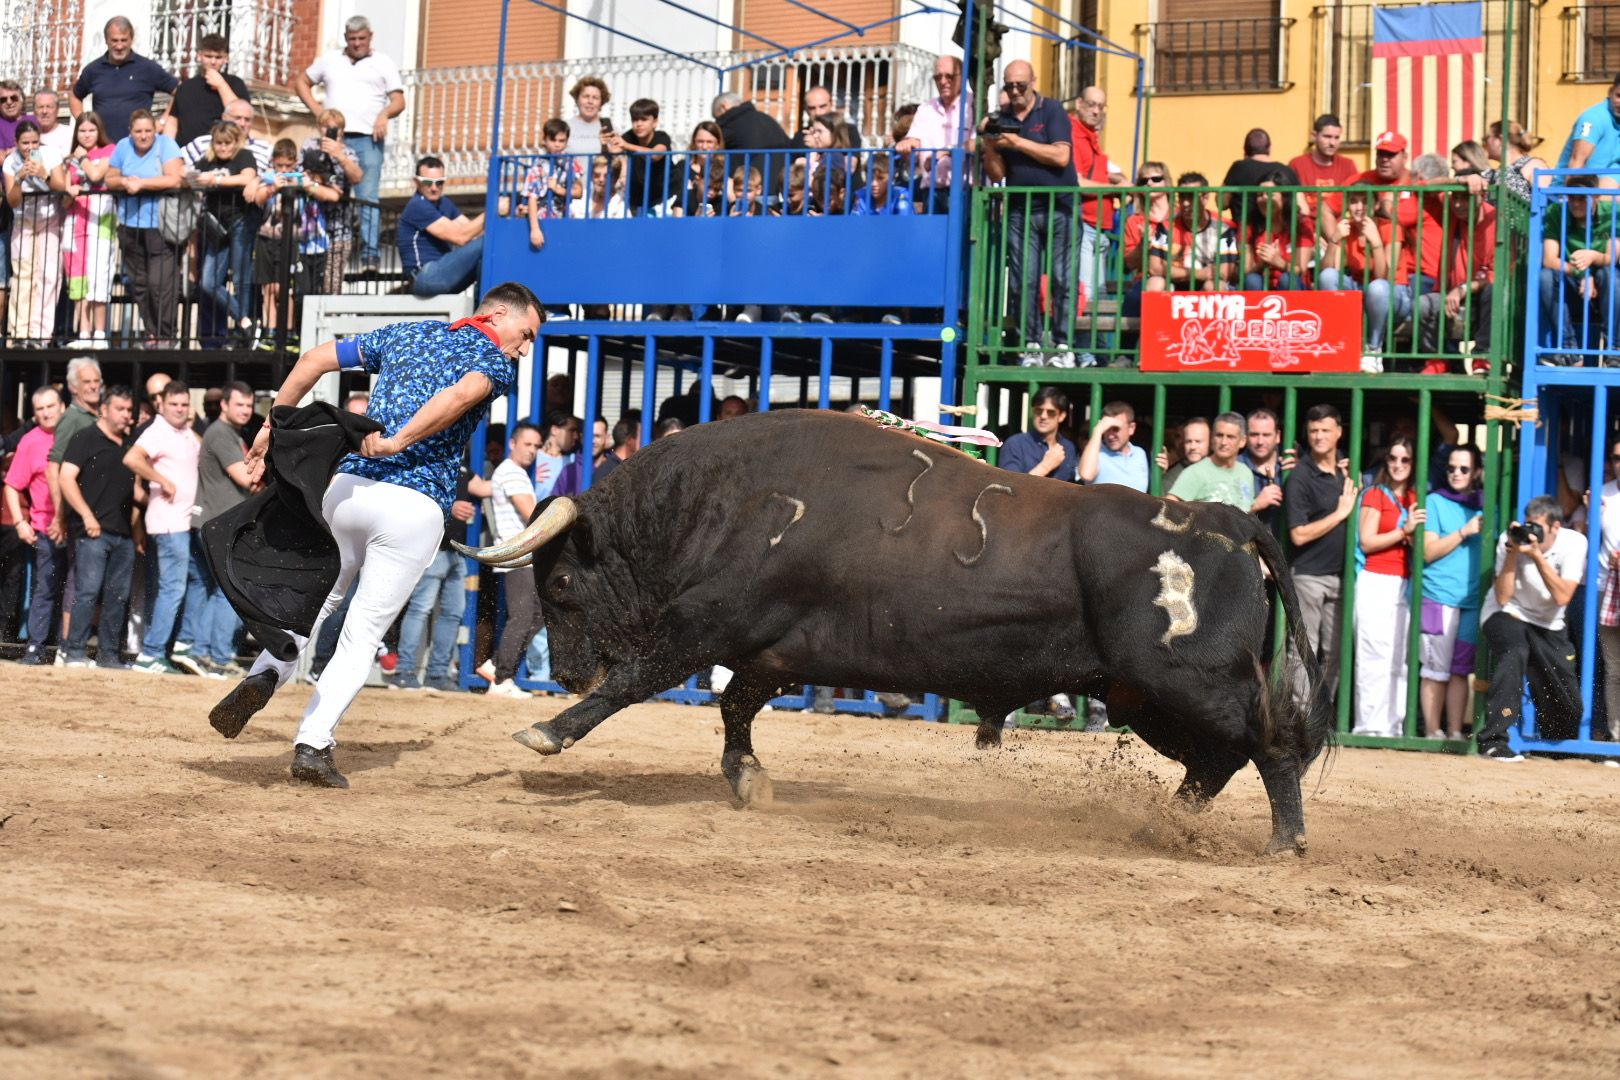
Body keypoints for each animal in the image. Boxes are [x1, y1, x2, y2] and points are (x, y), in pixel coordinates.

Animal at [456, 409, 1328, 854]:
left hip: (1186, 680)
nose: (565, 672)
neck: (722, 500)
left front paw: (549, 729)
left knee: (1268, 745)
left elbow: (639, 680)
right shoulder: (772, 652)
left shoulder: (704, 627)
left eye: (559, 583)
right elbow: (734, 708)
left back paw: (1284, 841)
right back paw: (1172, 822)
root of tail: (1221, 519)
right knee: (1219, 759)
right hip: (1138, 695)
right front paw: (746, 778)